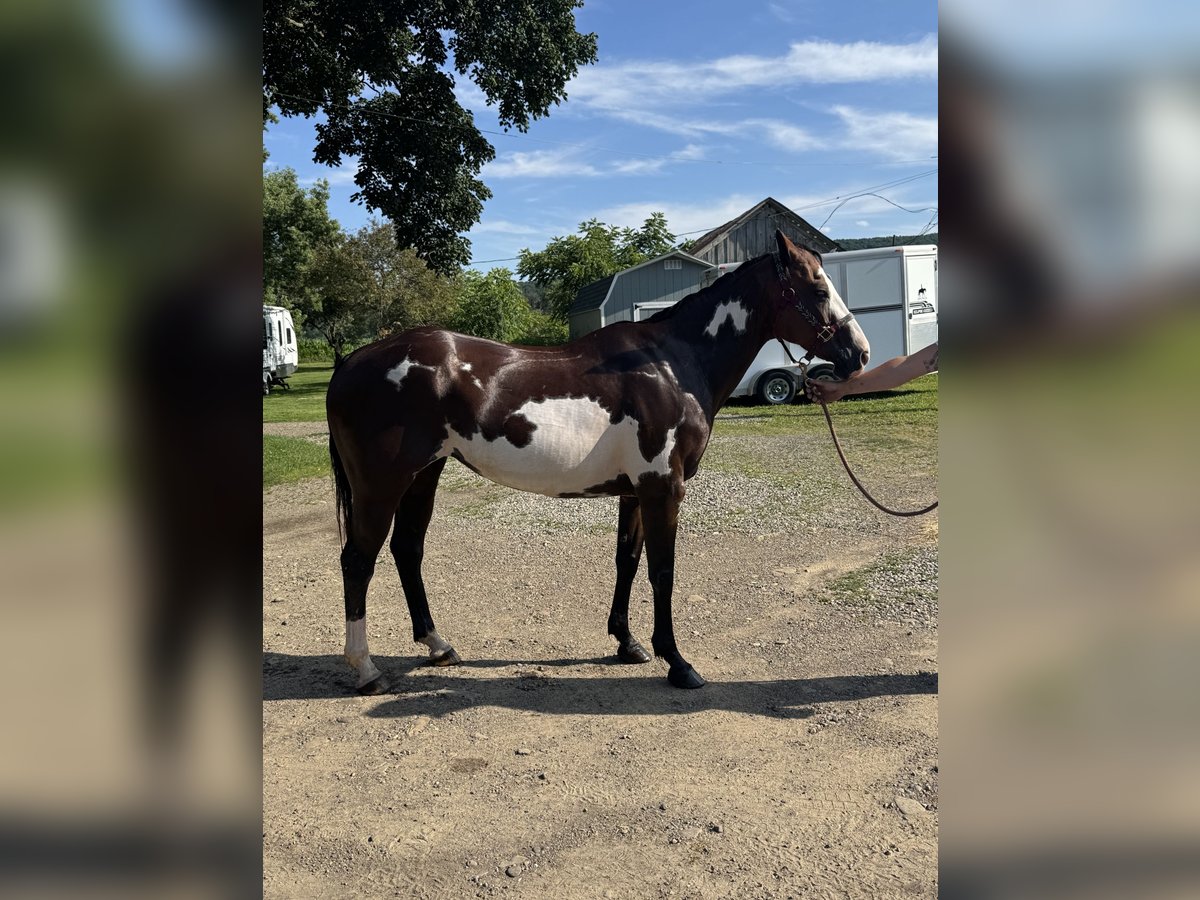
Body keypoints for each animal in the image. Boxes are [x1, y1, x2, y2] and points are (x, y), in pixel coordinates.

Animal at [325, 230, 870, 694]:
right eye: (817, 288)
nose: (860, 354)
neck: (671, 364)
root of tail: (352, 361)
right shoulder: (663, 488)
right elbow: (663, 571)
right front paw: (678, 662)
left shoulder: (636, 489)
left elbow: (627, 561)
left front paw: (628, 644)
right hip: (381, 485)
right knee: (358, 560)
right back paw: (366, 669)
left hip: (424, 475)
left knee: (407, 550)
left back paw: (438, 646)